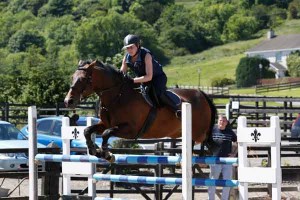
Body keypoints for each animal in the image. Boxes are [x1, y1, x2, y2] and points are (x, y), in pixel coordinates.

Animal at [64, 60, 217, 162]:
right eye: (72, 77)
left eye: (83, 79)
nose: (68, 101)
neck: (117, 96)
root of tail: (201, 94)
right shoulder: (105, 124)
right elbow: (87, 130)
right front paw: (94, 150)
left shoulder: (131, 130)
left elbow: (107, 133)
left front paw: (106, 154)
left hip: (199, 132)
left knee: (206, 141)